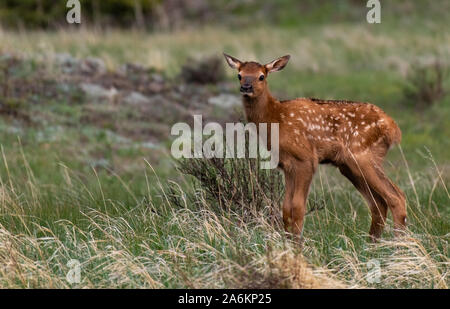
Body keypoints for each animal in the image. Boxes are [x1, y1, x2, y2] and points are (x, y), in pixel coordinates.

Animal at [223, 53, 406, 241]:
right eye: (239, 75)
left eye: (261, 76)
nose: (246, 87)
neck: (276, 118)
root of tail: (393, 128)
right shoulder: (287, 164)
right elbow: (286, 208)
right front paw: (288, 241)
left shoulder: (306, 159)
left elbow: (297, 207)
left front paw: (297, 244)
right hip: (348, 165)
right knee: (378, 203)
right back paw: (373, 243)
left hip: (362, 155)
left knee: (396, 197)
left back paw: (398, 243)